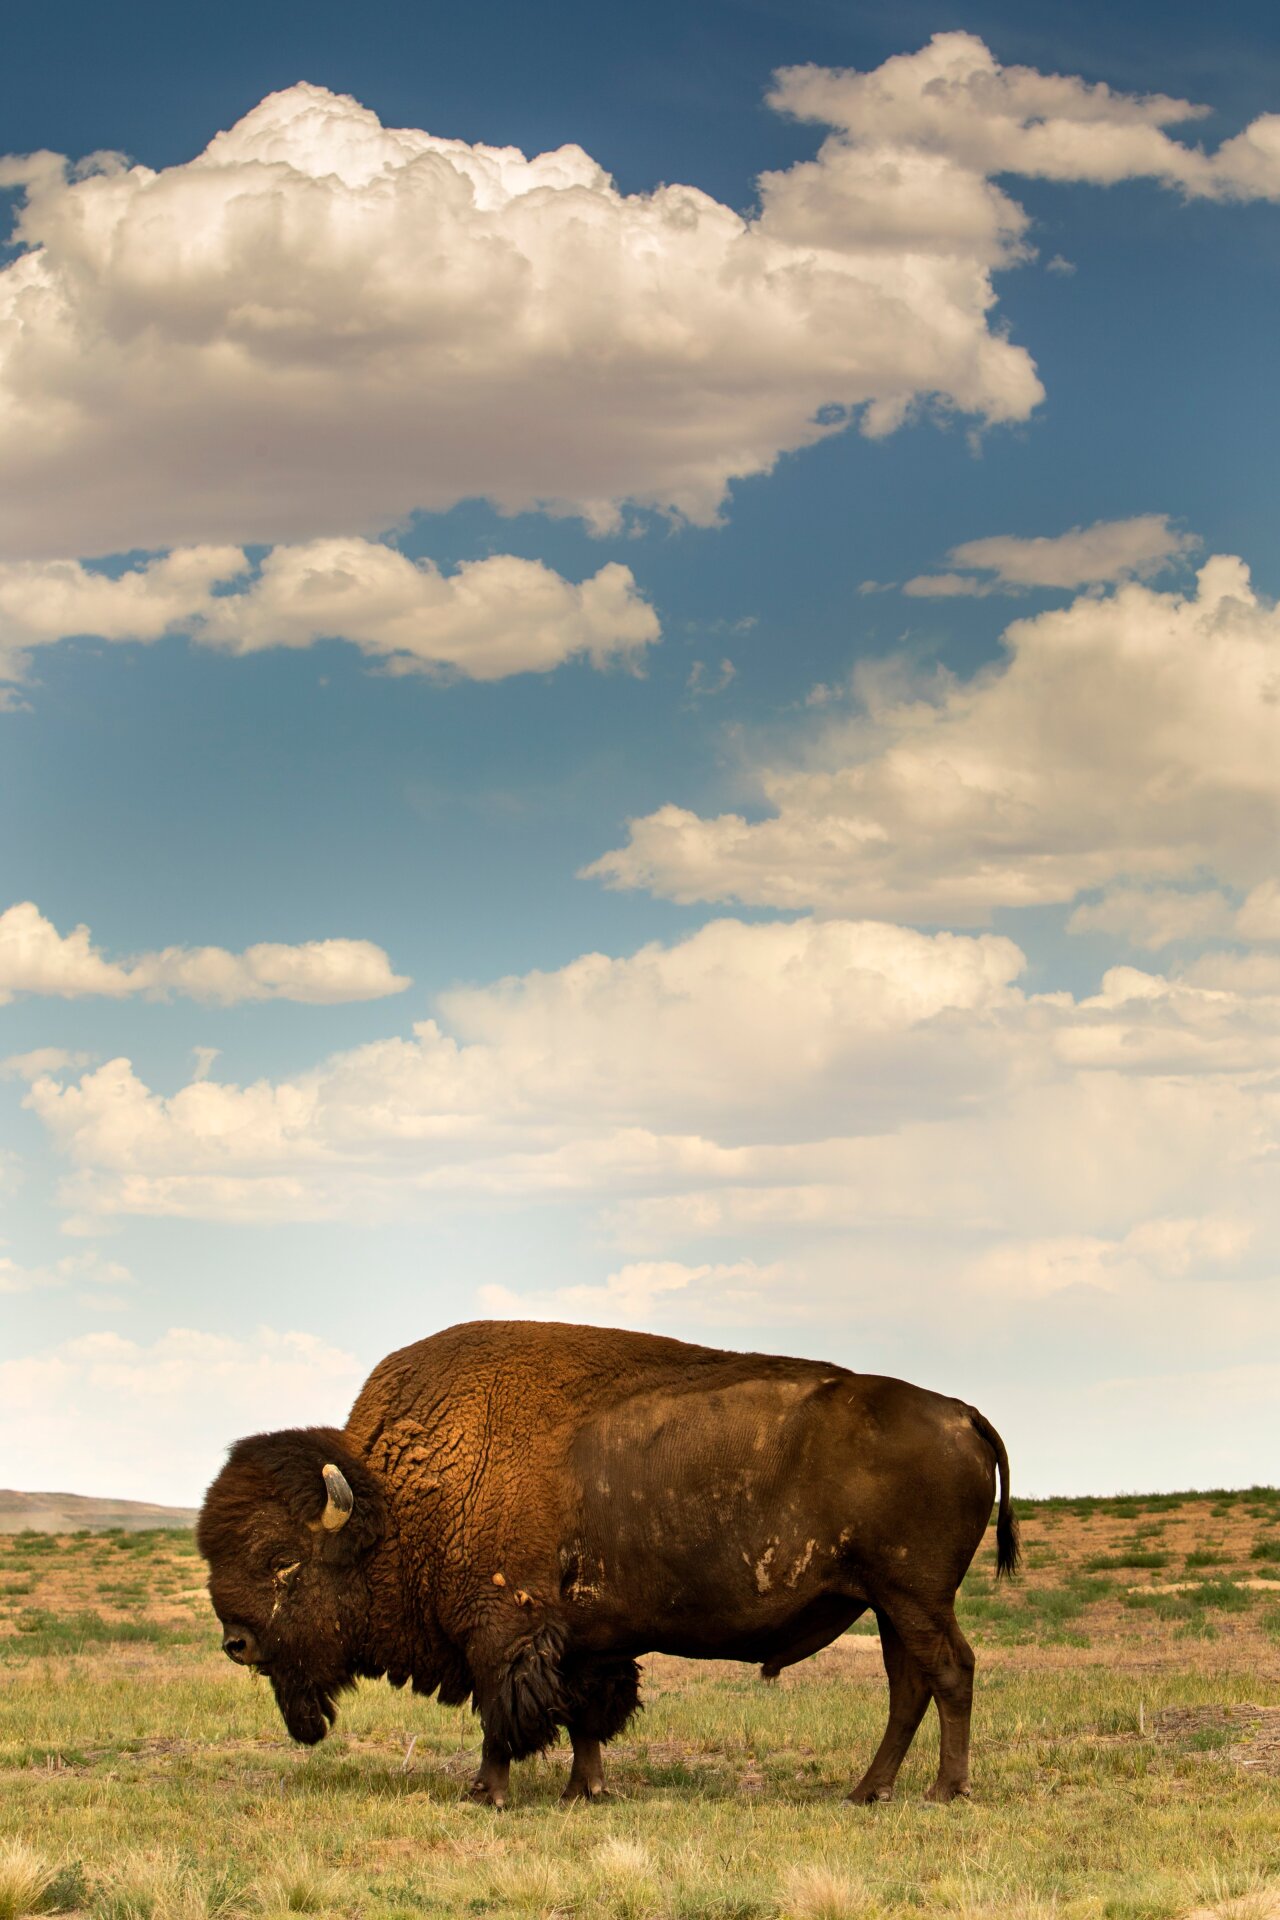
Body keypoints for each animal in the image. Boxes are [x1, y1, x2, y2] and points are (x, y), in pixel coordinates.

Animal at [197, 1320, 1020, 1797]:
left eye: (281, 1560)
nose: (237, 1642)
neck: (397, 1500)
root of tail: (963, 1414)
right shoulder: (586, 1639)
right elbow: (586, 1713)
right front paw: (584, 1791)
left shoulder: (504, 1631)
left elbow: (505, 1713)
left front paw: (488, 1792)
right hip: (887, 1603)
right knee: (909, 1686)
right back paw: (867, 1791)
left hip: (914, 1597)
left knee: (948, 1673)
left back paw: (945, 1792)